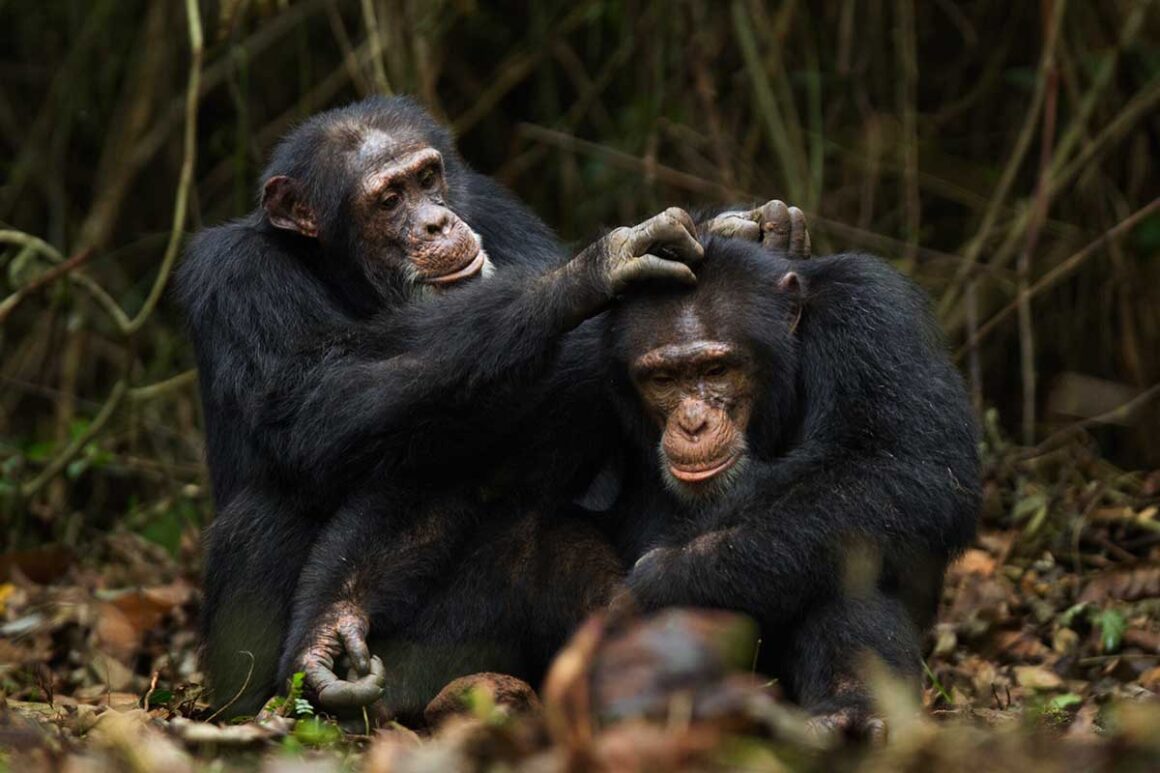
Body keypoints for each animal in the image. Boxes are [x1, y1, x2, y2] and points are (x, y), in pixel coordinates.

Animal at [172, 96, 700, 714]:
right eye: (389, 200)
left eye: (427, 179)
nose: (437, 222)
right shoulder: (234, 276)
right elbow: (314, 402)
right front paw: (580, 277)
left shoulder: (495, 210)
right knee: (264, 511)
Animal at [603, 233, 983, 733]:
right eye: (663, 379)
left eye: (717, 371)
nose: (692, 422)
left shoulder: (874, 312)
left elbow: (907, 464)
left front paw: (668, 576)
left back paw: (850, 708)